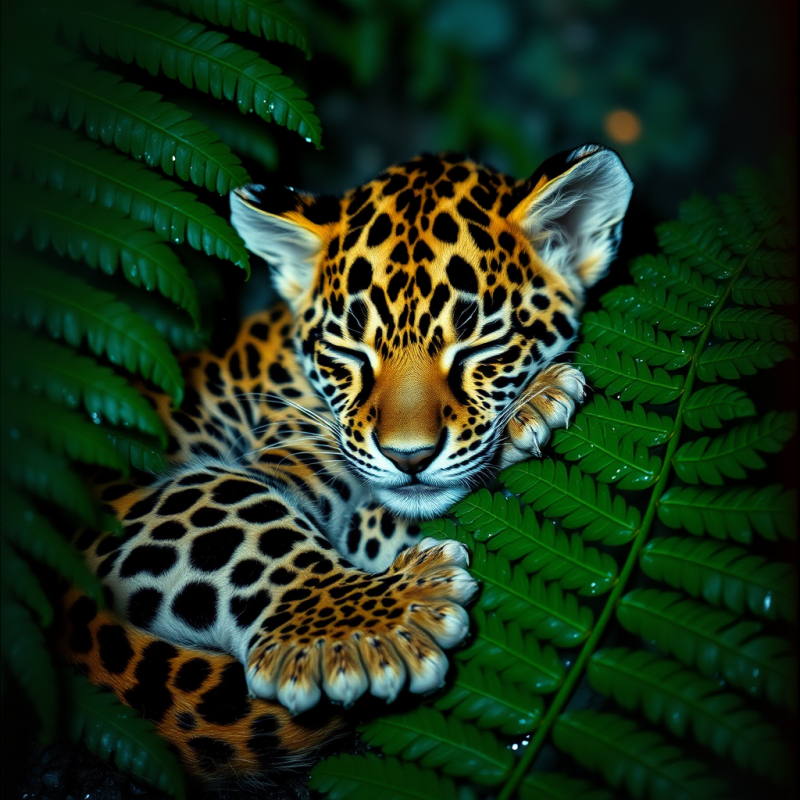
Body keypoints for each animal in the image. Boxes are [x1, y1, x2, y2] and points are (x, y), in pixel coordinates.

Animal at [59, 144, 633, 781]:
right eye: (349, 355)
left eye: (481, 349)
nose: (410, 456)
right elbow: (243, 511)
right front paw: (358, 631)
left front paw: (531, 401)